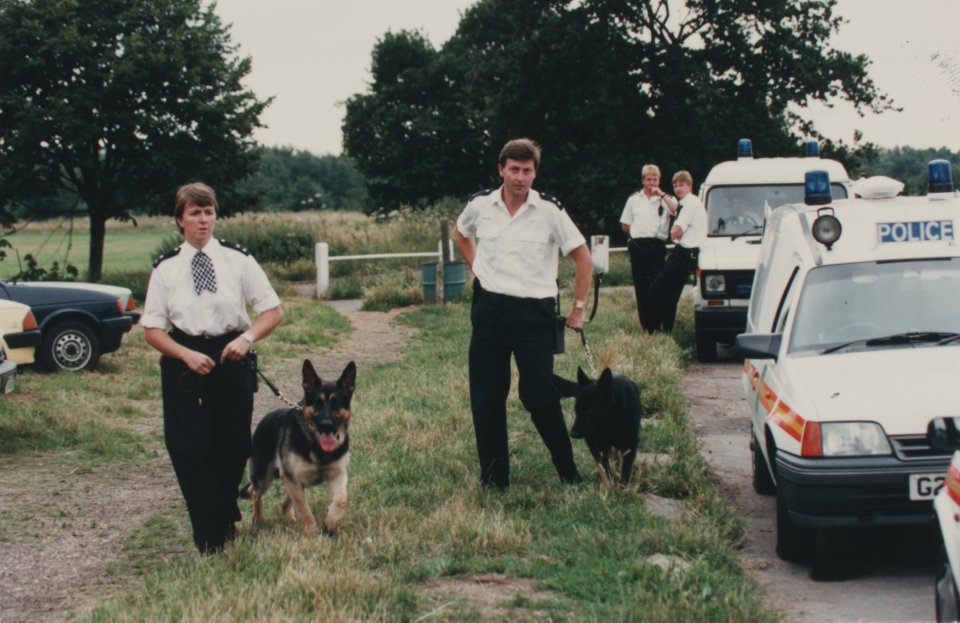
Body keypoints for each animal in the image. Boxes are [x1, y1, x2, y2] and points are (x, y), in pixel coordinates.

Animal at [240, 358, 356, 532]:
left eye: (337, 403)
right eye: (317, 403)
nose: (326, 425)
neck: (315, 445)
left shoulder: (337, 474)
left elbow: (342, 498)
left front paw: (332, 520)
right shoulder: (294, 479)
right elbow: (304, 508)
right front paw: (312, 531)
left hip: (290, 480)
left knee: (283, 502)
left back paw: (289, 519)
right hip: (264, 478)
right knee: (255, 494)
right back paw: (258, 520)